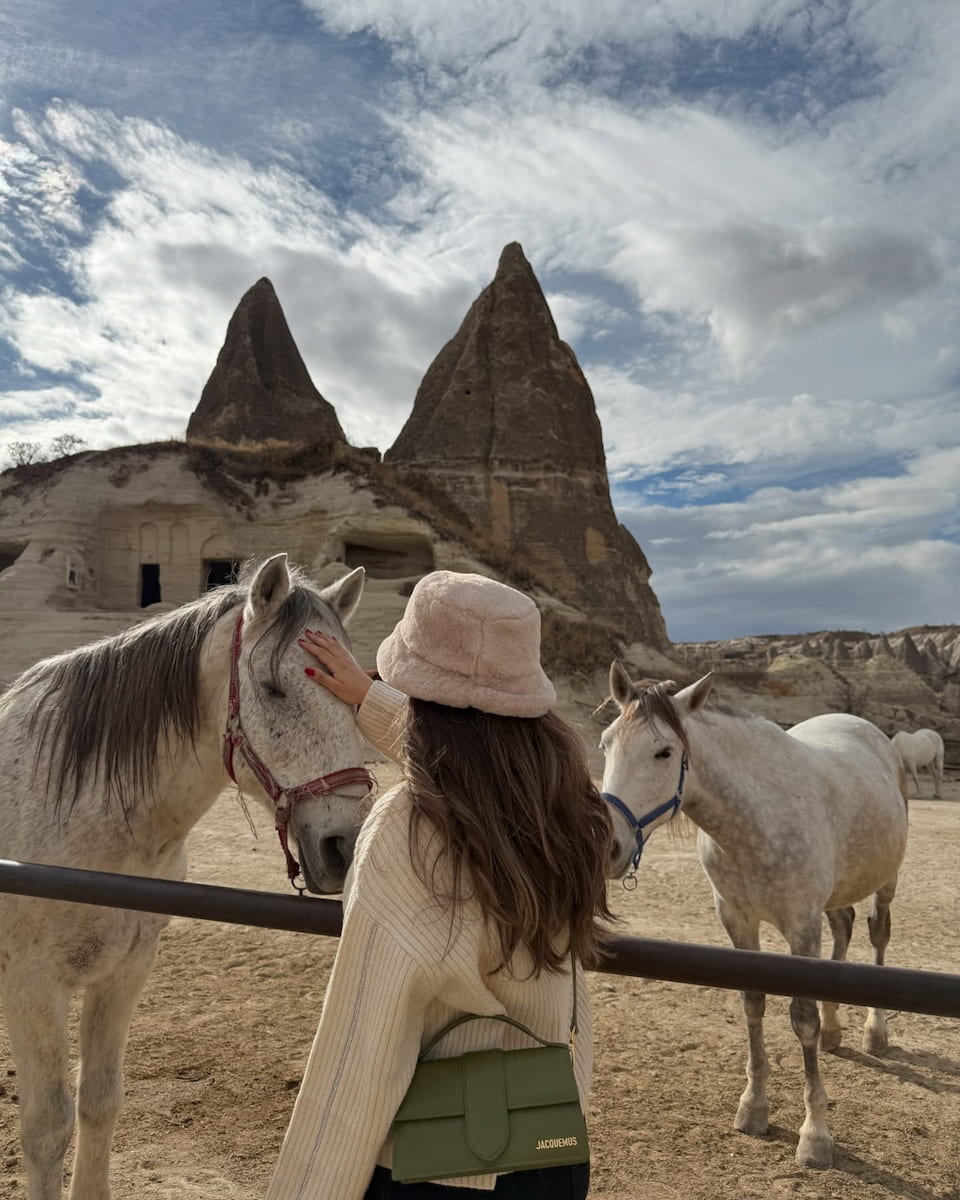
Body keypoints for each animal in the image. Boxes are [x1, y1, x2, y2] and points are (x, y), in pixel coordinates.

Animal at [0, 554, 374, 1200]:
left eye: (352, 694)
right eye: (272, 688)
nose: (344, 847)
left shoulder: (123, 974)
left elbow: (100, 1104)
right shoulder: (32, 987)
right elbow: (47, 1128)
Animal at [600, 662, 907, 1166]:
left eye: (664, 751)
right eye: (606, 743)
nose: (608, 845)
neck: (756, 817)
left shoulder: (801, 927)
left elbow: (801, 1018)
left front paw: (815, 1134)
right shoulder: (738, 921)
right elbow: (753, 1005)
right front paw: (754, 1108)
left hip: (886, 882)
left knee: (877, 937)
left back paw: (874, 1031)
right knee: (842, 930)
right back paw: (836, 1030)